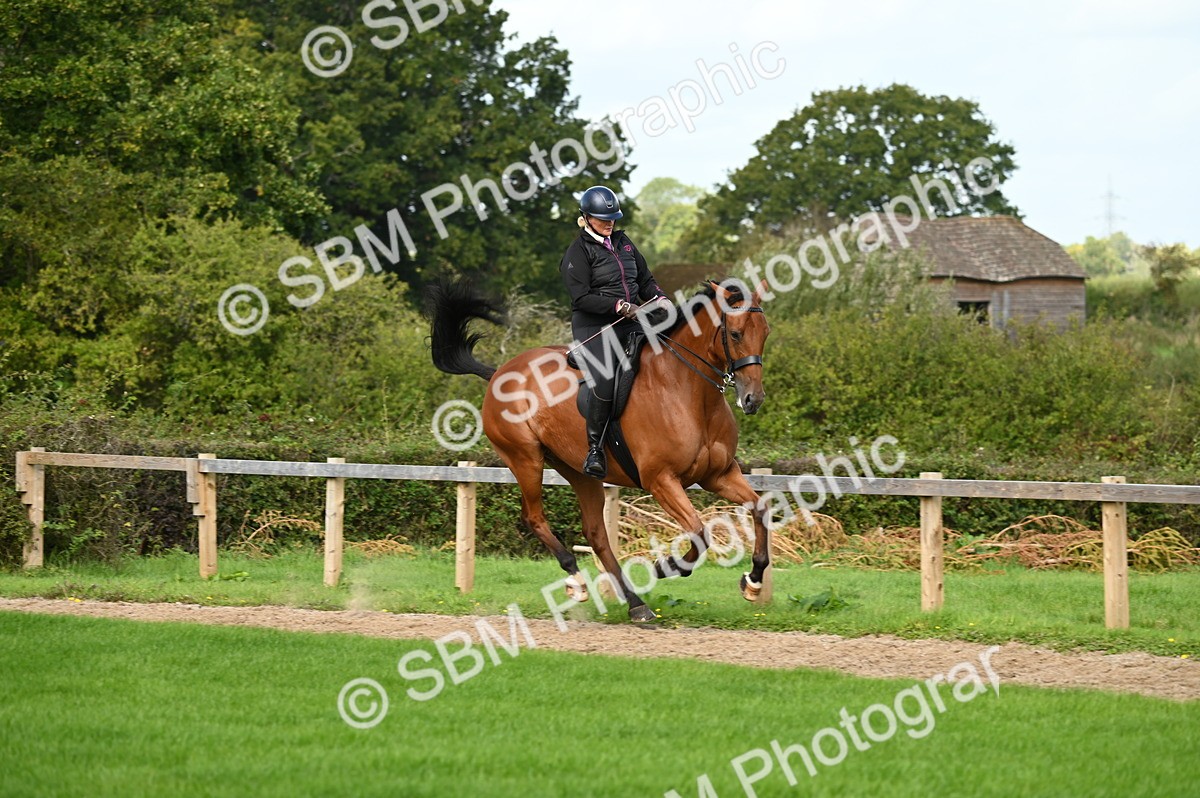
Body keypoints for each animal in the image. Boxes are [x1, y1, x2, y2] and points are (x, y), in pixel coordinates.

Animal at [426, 278, 772, 623]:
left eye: (765, 332)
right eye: (736, 333)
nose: (753, 399)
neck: (687, 392)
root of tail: (499, 373)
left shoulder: (719, 475)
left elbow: (759, 508)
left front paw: (753, 582)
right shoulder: (661, 480)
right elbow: (700, 533)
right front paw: (665, 567)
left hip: (578, 472)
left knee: (596, 534)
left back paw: (636, 603)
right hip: (525, 459)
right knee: (534, 517)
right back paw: (577, 581)